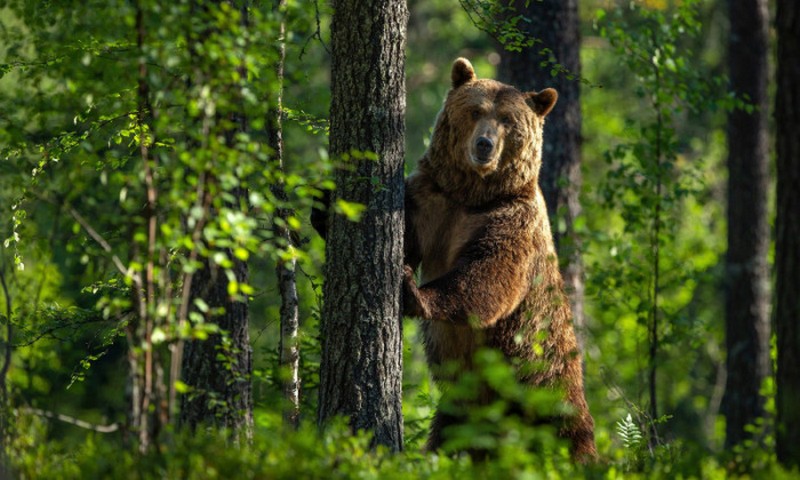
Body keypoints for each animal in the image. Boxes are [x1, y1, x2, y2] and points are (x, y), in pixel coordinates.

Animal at [406, 58, 592, 460]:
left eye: (507, 120)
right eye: (476, 110)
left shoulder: (512, 220)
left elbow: (489, 276)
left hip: (543, 385)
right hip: (462, 409)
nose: (484, 144)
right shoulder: (433, 198)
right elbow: (406, 232)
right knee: (448, 437)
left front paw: (414, 293)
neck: (473, 194)